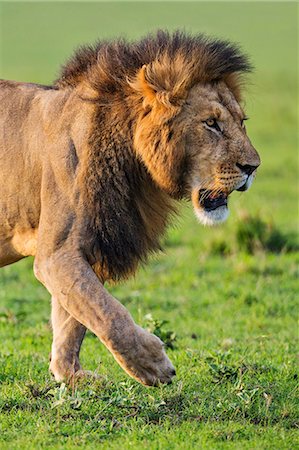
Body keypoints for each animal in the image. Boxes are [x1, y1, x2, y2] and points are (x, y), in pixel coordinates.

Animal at [0, 29, 260, 384]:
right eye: (211, 123)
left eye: (242, 122)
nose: (253, 167)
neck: (132, 162)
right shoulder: (56, 255)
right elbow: (106, 313)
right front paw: (153, 365)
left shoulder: (91, 245)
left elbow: (73, 318)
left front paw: (71, 375)